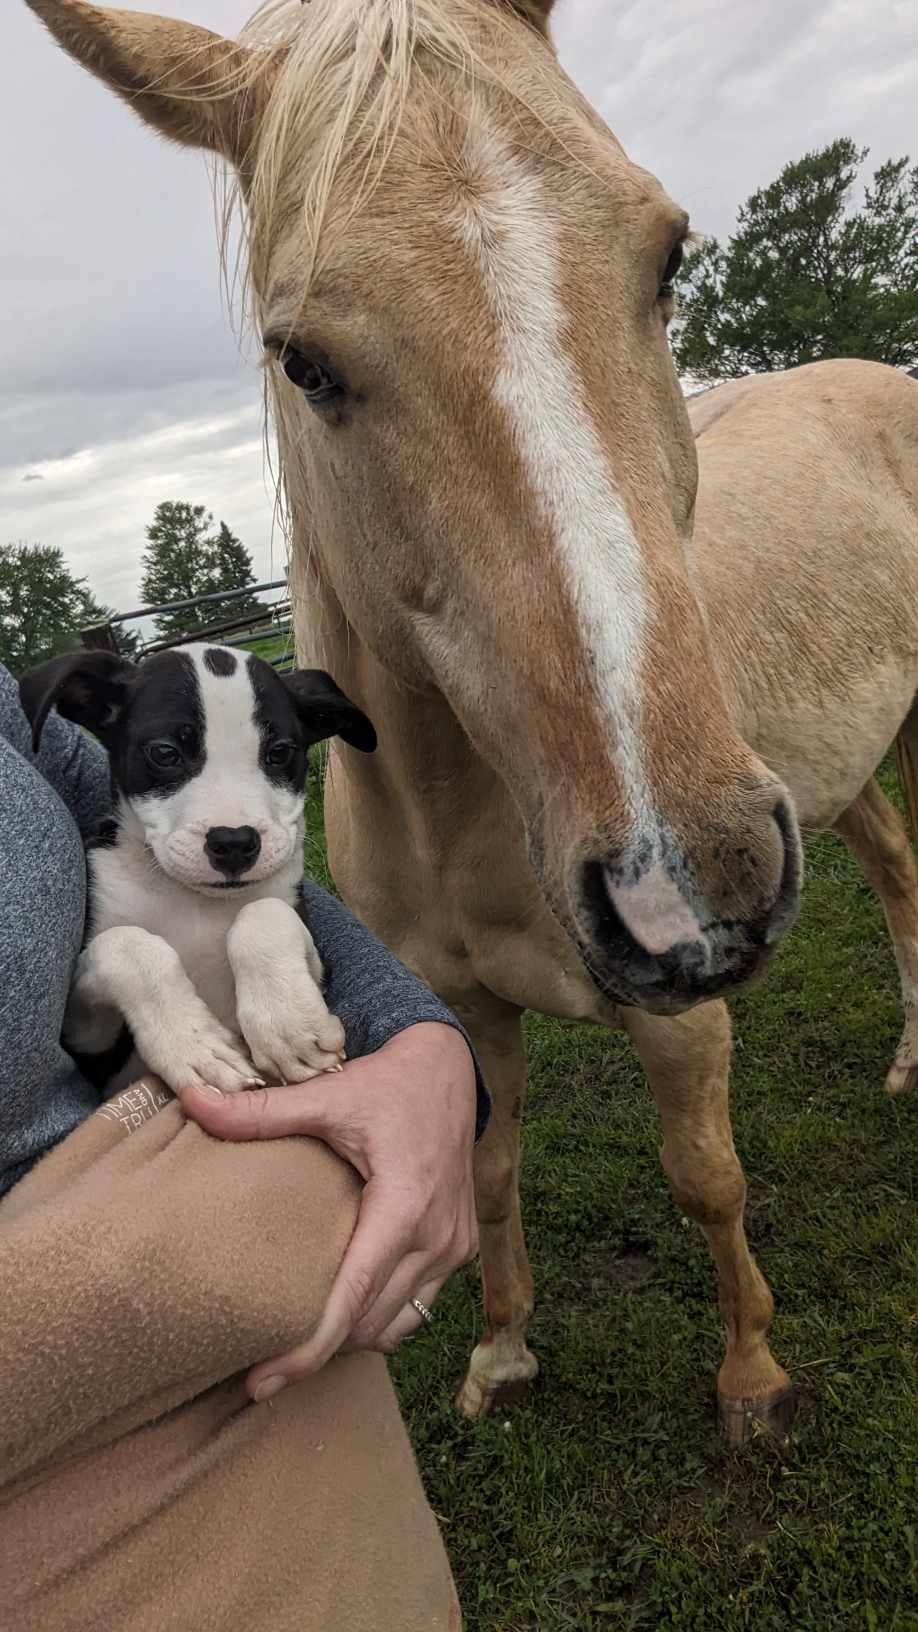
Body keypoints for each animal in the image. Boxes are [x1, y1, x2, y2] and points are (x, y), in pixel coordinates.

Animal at [19, 639, 375, 1096]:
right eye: (165, 752)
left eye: (279, 752)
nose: (235, 843)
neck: (193, 900)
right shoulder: (87, 1044)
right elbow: (126, 943)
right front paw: (195, 1046)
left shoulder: (317, 964)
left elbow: (262, 911)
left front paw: (287, 1025)